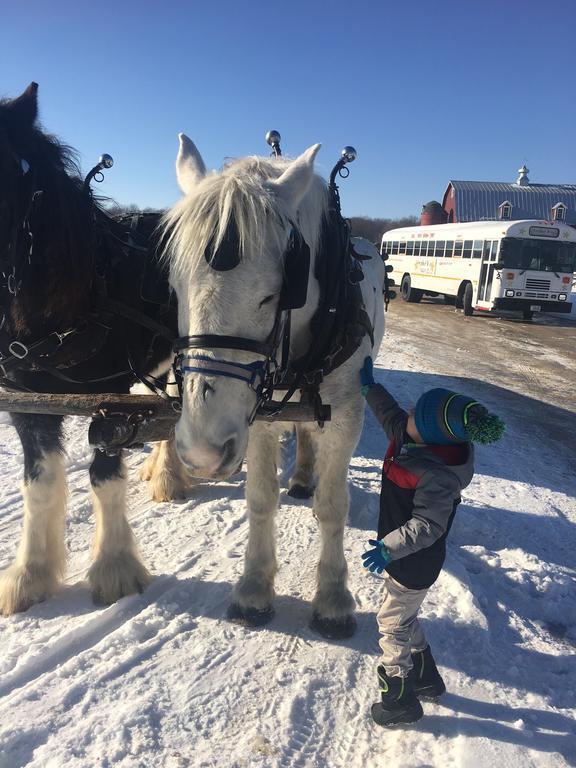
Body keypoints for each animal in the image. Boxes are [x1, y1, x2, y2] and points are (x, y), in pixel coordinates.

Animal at [0, 84, 178, 616]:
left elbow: (104, 478)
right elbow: (38, 484)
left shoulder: (111, 404)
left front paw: (114, 568)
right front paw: (30, 575)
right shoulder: (27, 405)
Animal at [164, 136, 384, 636]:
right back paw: (300, 477)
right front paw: (254, 586)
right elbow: (261, 498)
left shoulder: (347, 415)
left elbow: (334, 505)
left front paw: (333, 598)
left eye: (274, 293)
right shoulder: (257, 417)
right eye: (176, 286)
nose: (202, 451)